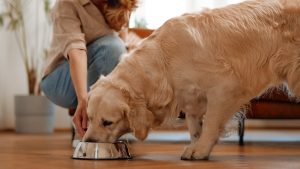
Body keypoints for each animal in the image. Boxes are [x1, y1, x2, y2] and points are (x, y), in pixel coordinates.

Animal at [82, 0, 300, 160]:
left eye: (108, 122)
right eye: (89, 118)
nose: (88, 141)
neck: (164, 61)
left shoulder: (224, 88)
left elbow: (210, 123)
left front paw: (201, 150)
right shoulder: (190, 98)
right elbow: (195, 127)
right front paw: (195, 145)